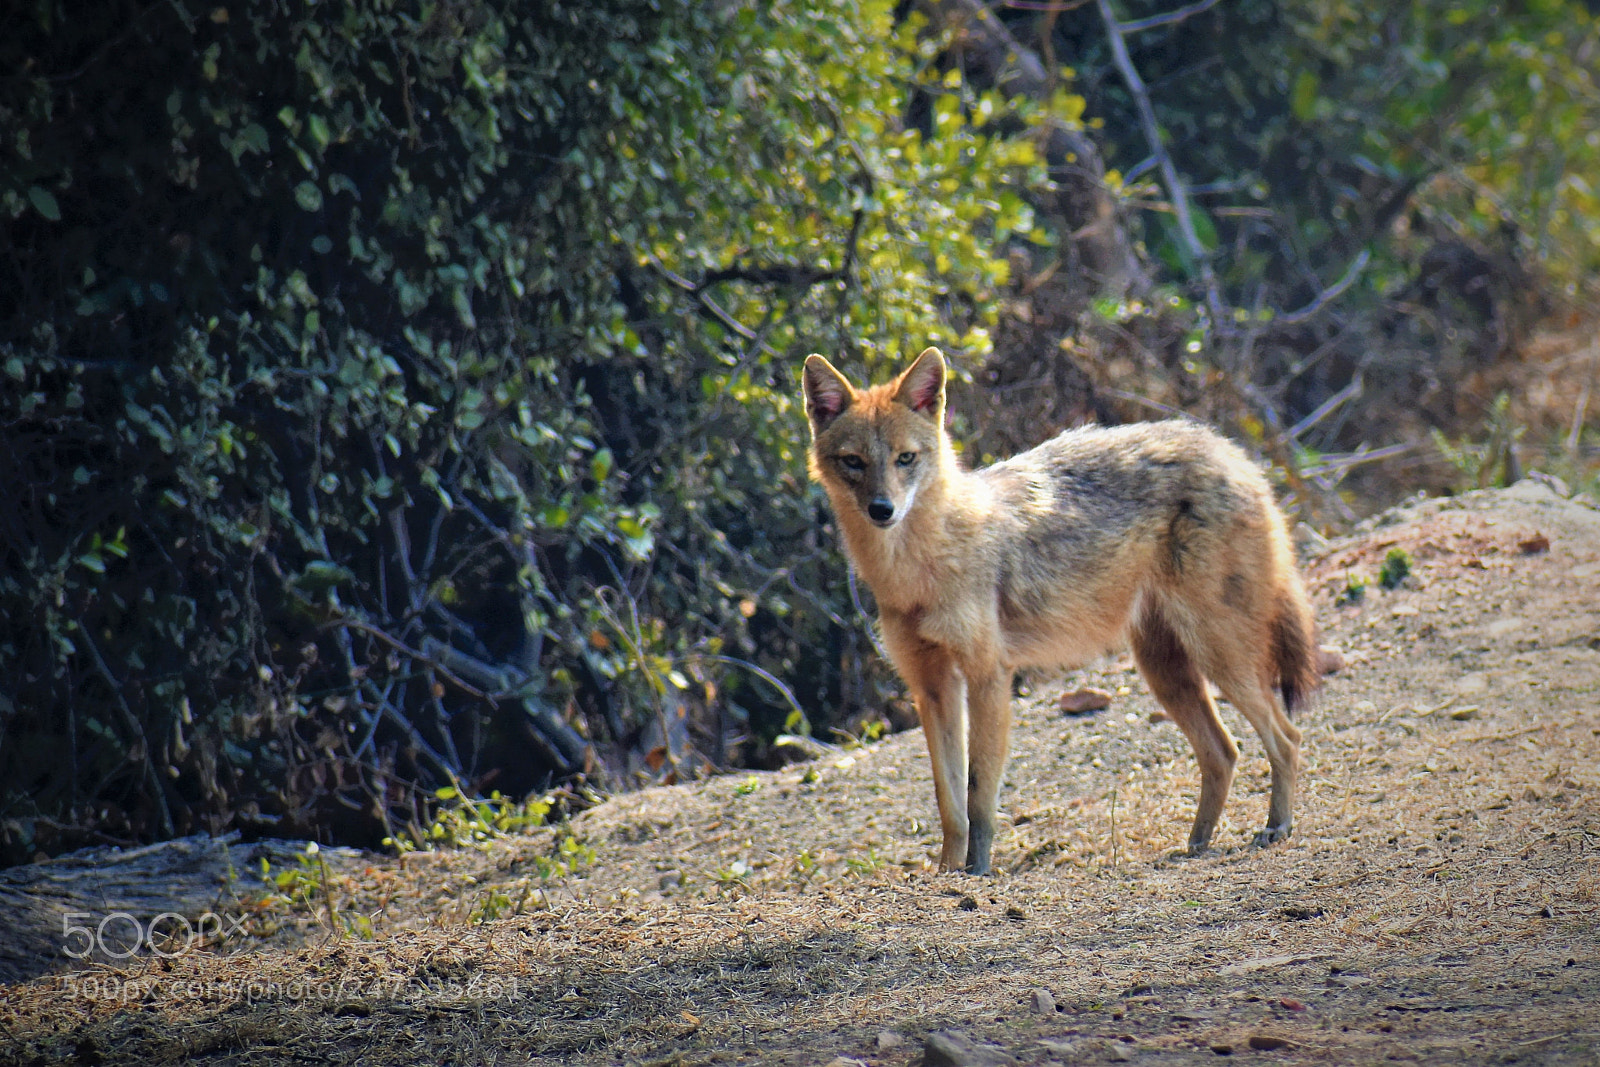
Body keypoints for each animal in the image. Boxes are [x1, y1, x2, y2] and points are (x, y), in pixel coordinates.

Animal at [801, 346, 1319, 874]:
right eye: (854, 462)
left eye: (905, 458)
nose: (882, 510)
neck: (916, 575)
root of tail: (1231, 451)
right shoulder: (933, 689)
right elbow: (949, 804)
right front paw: (946, 874)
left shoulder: (988, 677)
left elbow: (978, 797)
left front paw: (976, 874)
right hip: (1166, 672)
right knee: (1225, 752)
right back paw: (1196, 844)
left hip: (1219, 660)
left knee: (1288, 738)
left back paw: (1276, 827)